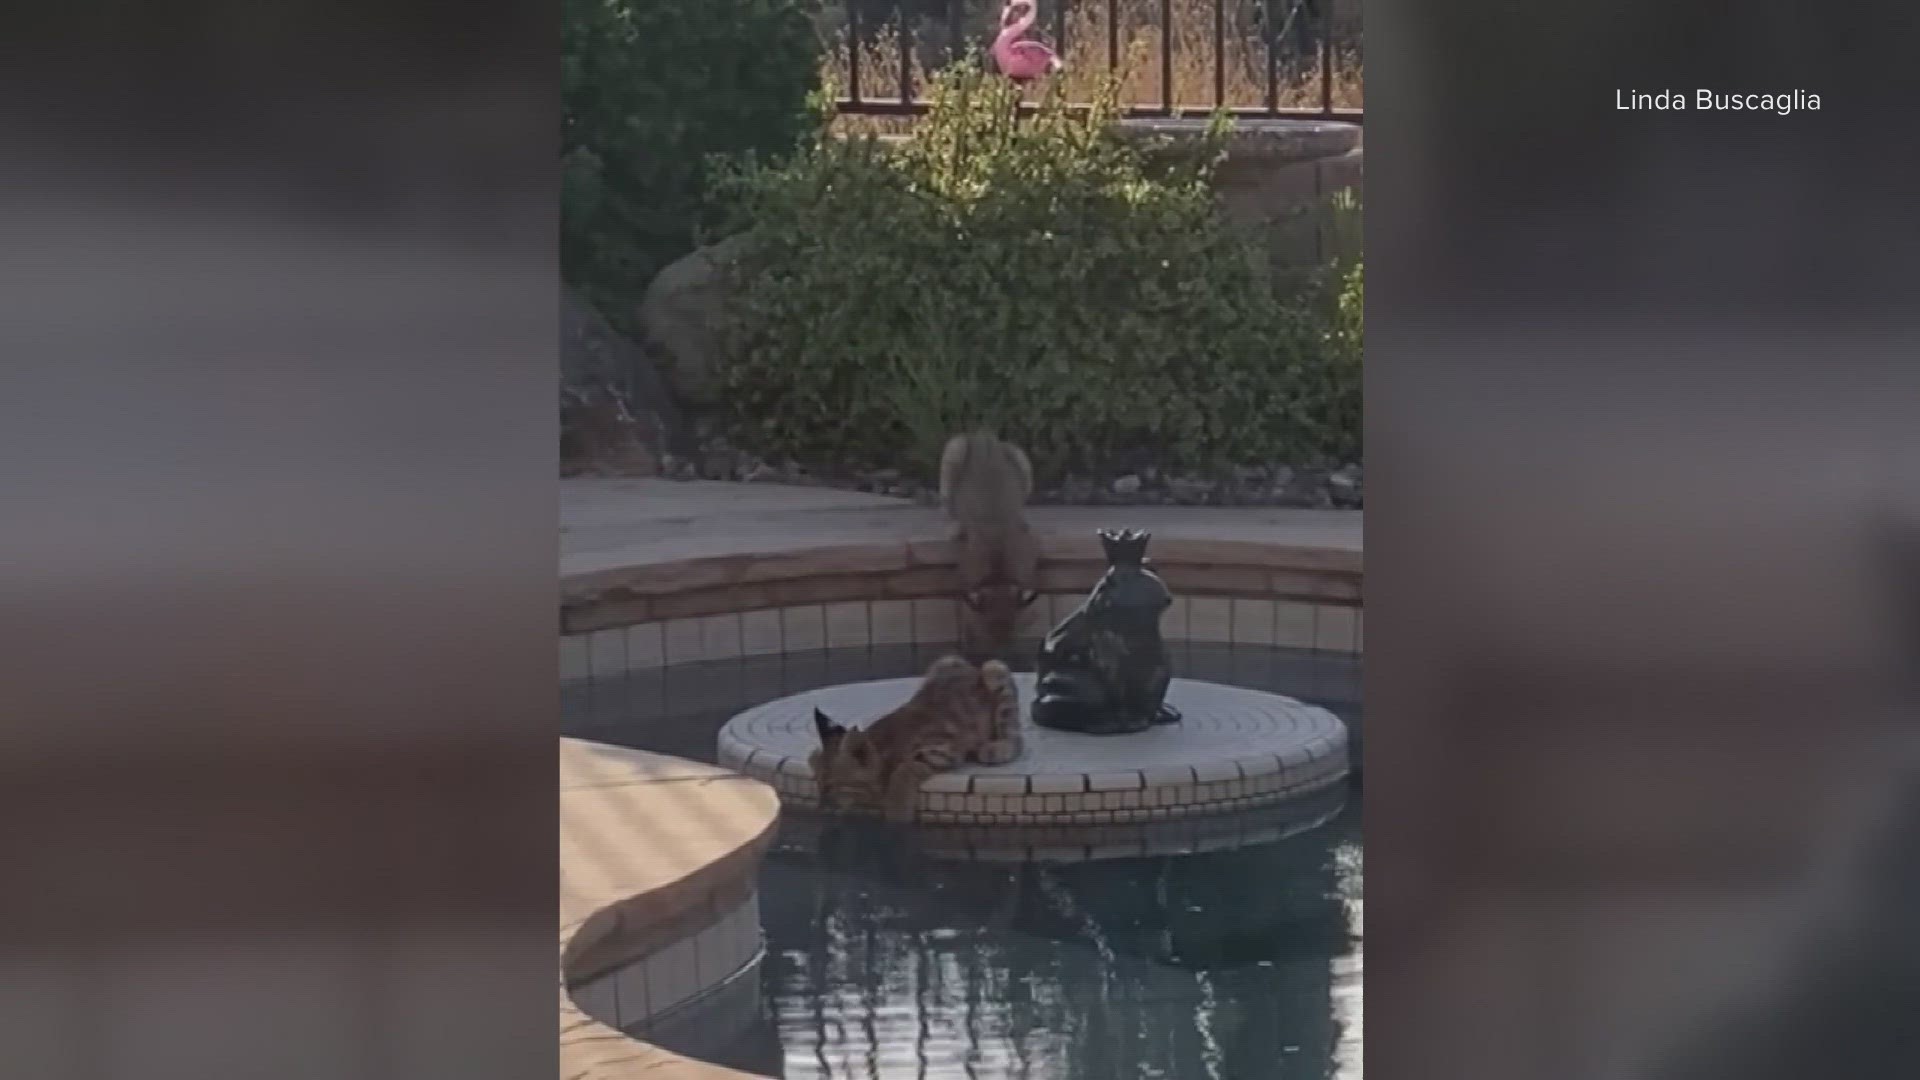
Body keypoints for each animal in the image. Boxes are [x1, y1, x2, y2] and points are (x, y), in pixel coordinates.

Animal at [806, 653, 1029, 818]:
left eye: (832, 787)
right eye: (818, 783)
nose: (820, 808)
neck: (882, 744)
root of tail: (972, 669)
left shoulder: (943, 750)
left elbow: (903, 770)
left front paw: (896, 815)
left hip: (994, 667)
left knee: (1015, 736)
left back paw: (999, 748)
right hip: (945, 661)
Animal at [940, 428, 1044, 657]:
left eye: (1011, 635)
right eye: (987, 633)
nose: (1002, 652)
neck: (999, 576)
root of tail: (982, 435)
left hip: (1020, 459)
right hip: (954, 451)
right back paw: (954, 527)